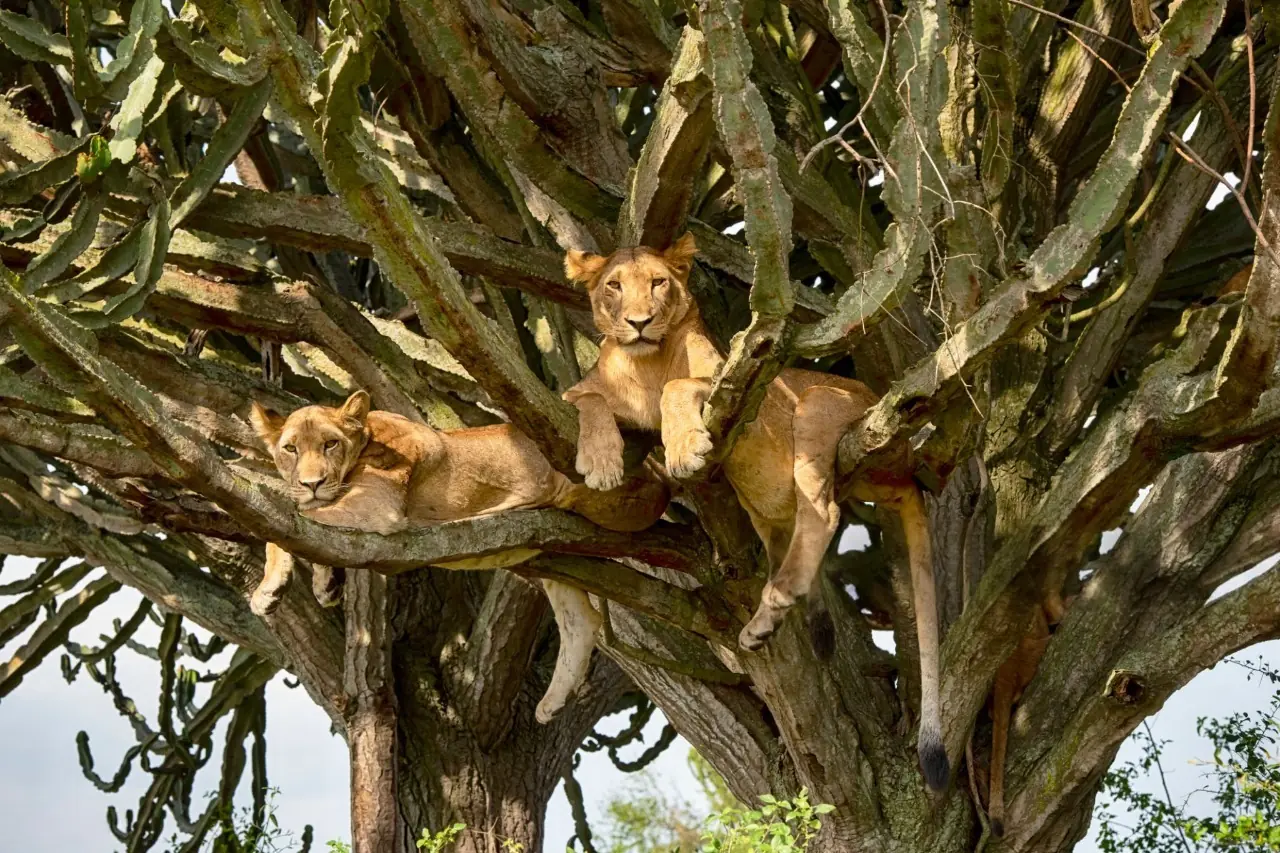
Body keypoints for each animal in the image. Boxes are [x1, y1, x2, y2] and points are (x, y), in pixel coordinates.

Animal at [248, 390, 670, 723]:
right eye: (290, 449)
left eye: (330, 444)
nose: (312, 483)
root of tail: (660, 472)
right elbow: (303, 520)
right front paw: (325, 584)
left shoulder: (376, 507)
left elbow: (286, 520)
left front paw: (269, 589)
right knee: (581, 621)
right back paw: (553, 703)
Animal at [562, 234, 949, 790]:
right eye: (613, 285)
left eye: (658, 283)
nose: (638, 322)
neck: (644, 363)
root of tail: (908, 469)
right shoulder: (590, 396)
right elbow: (586, 398)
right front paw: (600, 461)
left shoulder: (729, 385)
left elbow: (679, 389)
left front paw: (684, 448)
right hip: (767, 510)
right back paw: (779, 622)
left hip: (817, 401)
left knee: (823, 513)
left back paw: (778, 602)